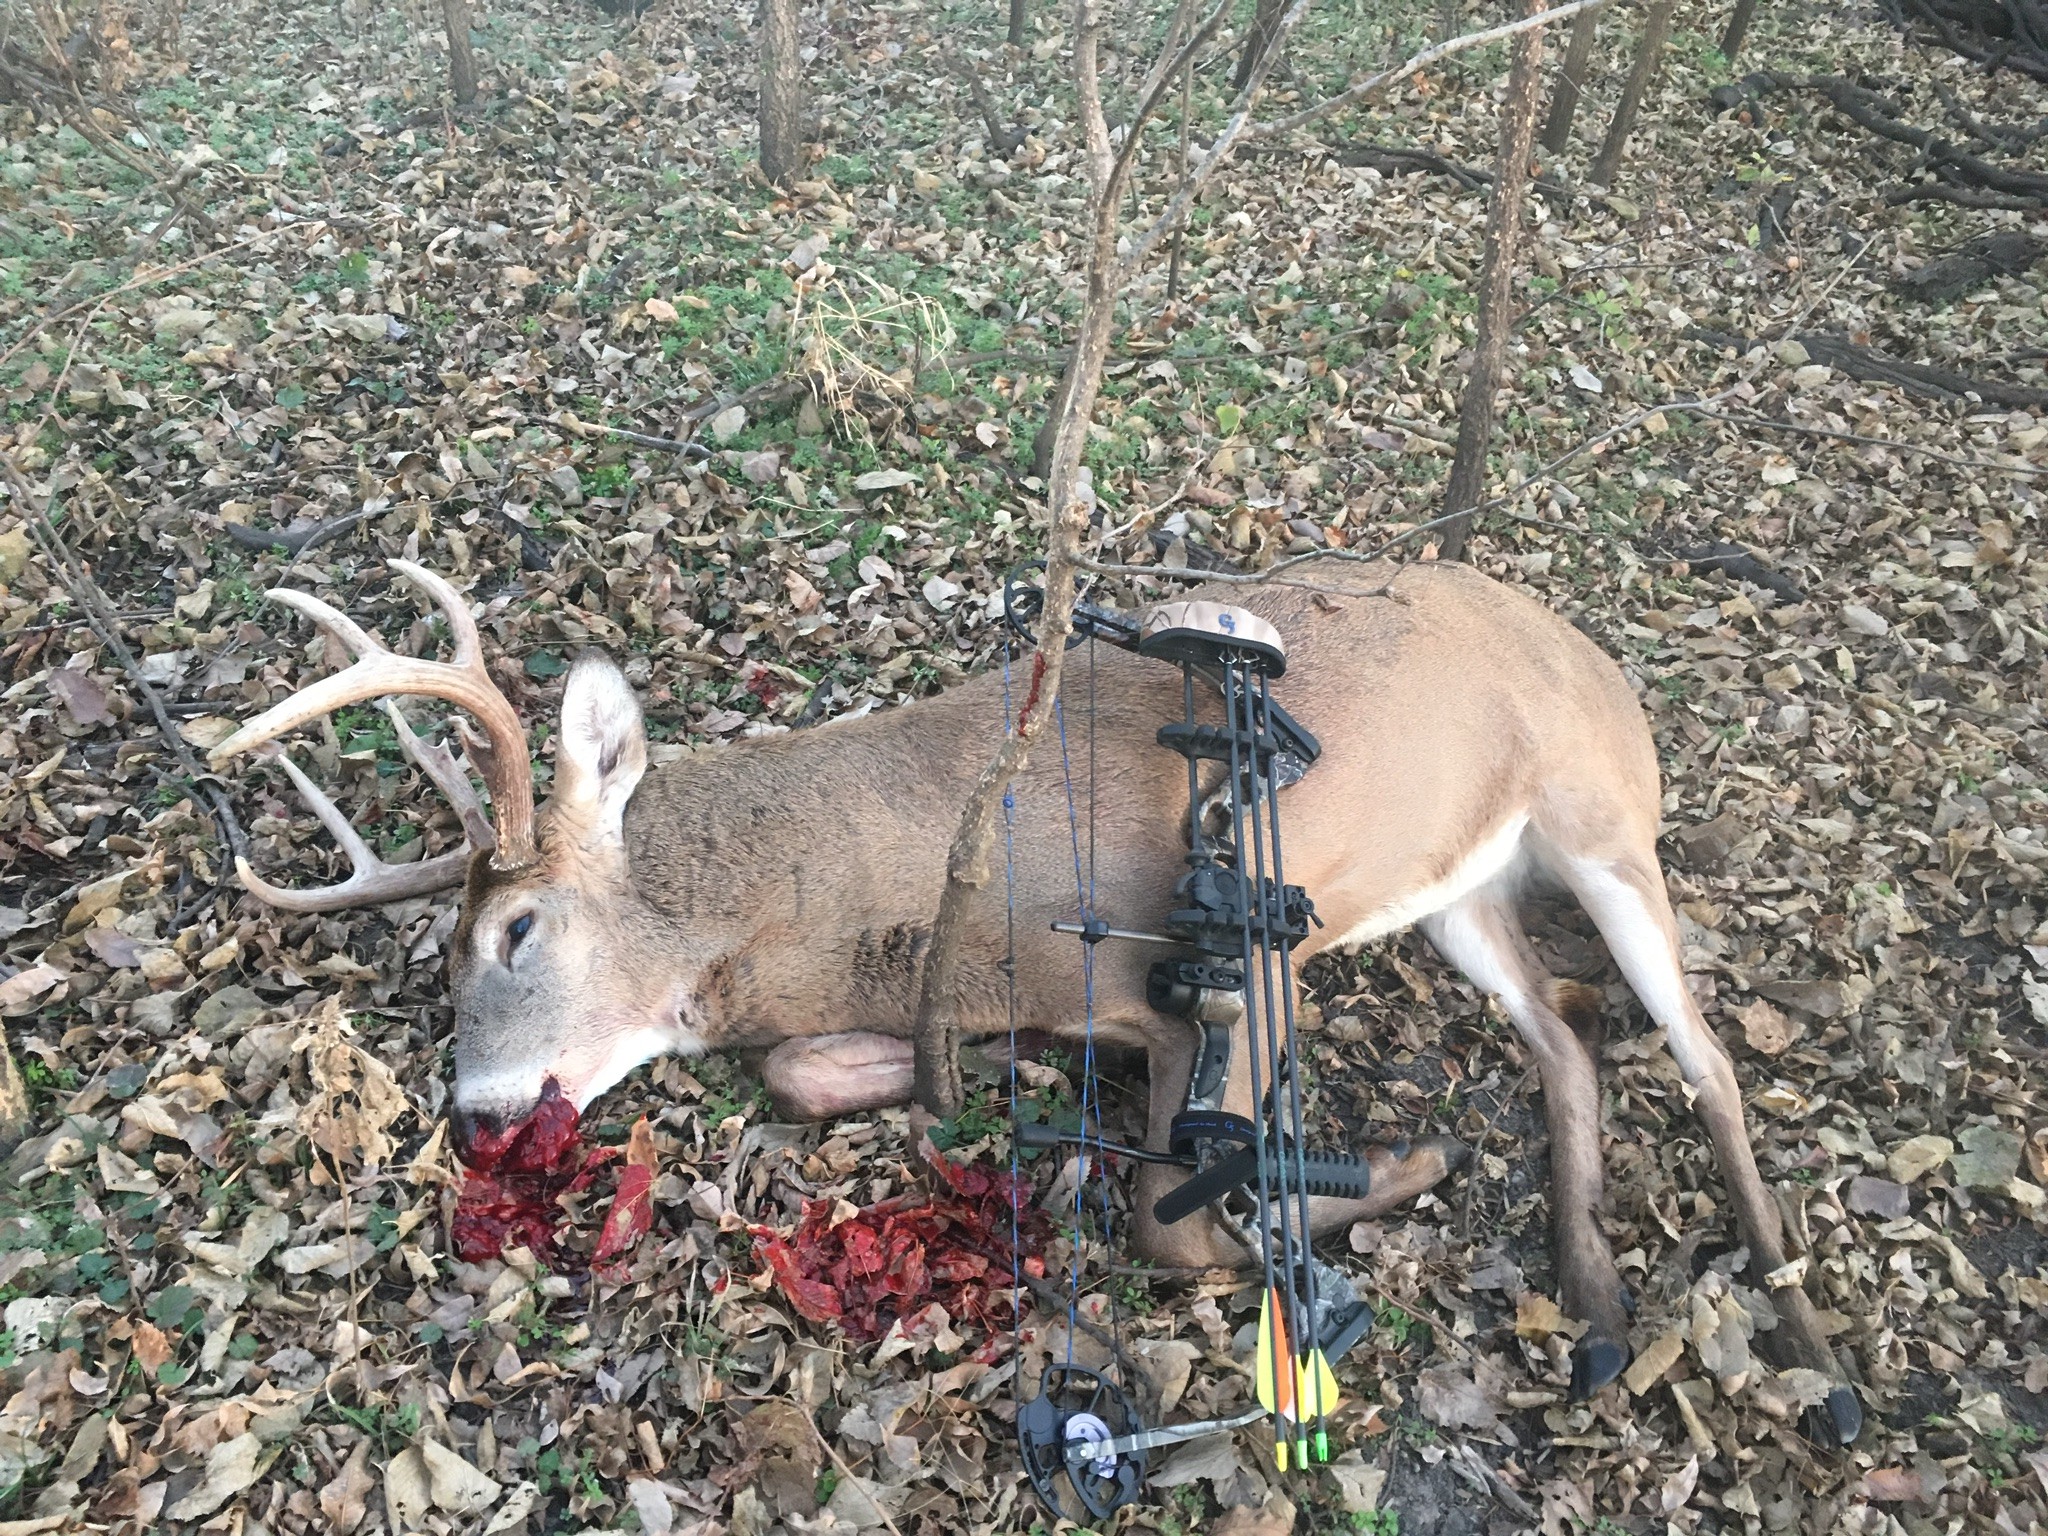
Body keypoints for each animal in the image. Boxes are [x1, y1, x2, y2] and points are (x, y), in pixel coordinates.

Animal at [210, 558, 1861, 1442]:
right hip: (1465, 889)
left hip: (1604, 820)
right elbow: (821, 1074)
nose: (475, 1114)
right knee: (1572, 1033)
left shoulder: (1247, 956)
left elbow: (1172, 1219)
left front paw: (1395, 1164)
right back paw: (1595, 1309)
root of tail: (1606, 661)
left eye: (516, 930)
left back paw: (1815, 1356)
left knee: (1704, 1055)